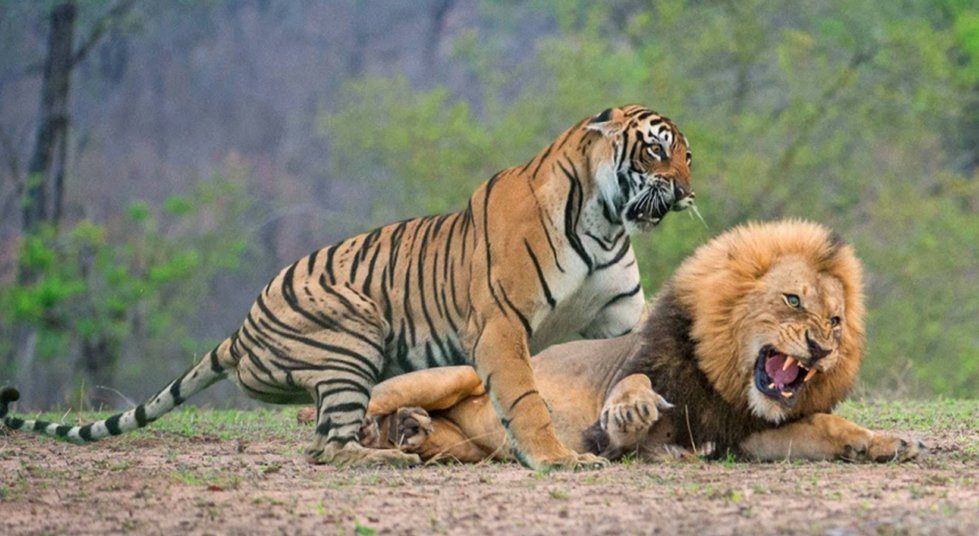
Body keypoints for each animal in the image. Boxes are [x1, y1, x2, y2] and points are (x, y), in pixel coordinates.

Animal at [1, 104, 694, 470]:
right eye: (657, 150)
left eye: (687, 156)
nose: (688, 193)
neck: (605, 220)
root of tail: (240, 329)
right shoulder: (499, 325)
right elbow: (524, 399)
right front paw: (558, 459)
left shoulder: (621, 315)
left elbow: (640, 359)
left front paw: (635, 403)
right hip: (350, 336)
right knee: (325, 447)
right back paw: (392, 457)